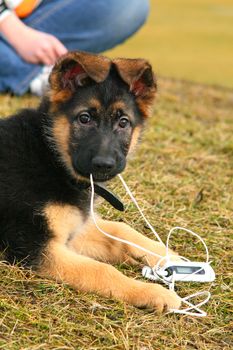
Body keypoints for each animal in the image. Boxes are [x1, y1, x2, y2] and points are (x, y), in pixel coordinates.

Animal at [0, 50, 180, 310]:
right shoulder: (36, 247)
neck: (52, 157)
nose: (104, 165)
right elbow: (102, 271)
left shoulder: (74, 228)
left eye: (123, 122)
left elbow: (121, 229)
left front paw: (166, 255)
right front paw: (152, 292)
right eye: (84, 118)